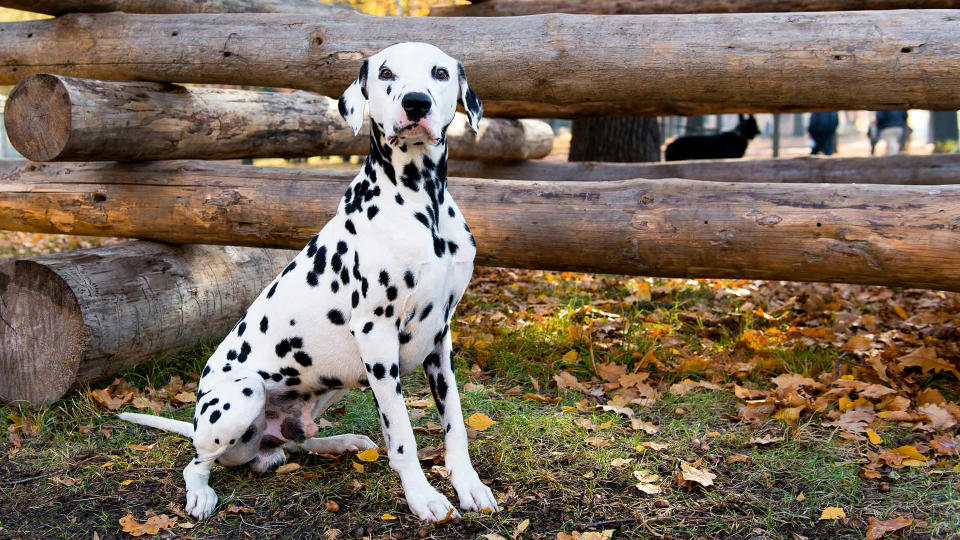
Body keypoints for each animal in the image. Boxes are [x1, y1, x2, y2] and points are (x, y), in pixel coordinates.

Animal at [119, 42, 496, 524]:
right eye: (387, 73)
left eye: (440, 73)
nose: (416, 103)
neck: (421, 204)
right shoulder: (376, 335)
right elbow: (402, 437)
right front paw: (423, 497)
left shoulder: (440, 338)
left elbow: (455, 424)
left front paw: (470, 486)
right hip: (242, 395)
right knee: (196, 462)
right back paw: (201, 493)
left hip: (333, 383)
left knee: (295, 441)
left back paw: (340, 442)